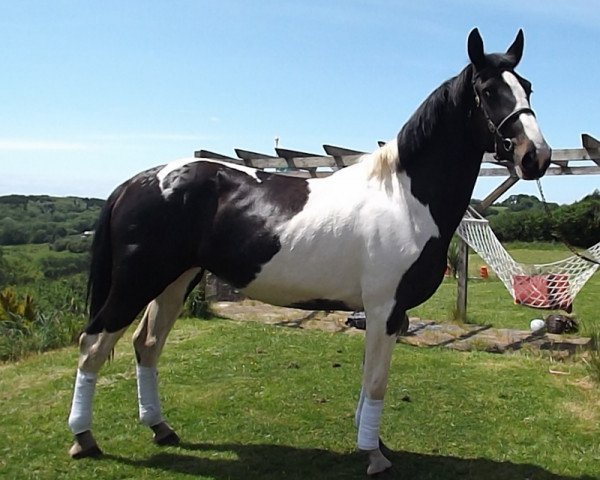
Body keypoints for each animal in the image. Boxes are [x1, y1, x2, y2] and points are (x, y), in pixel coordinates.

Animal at [68, 28, 552, 474]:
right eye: (488, 91)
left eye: (527, 87)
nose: (536, 157)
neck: (404, 196)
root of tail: (136, 182)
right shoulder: (385, 309)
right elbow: (377, 382)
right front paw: (374, 455)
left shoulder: (383, 313)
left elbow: (368, 379)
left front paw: (370, 440)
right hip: (137, 282)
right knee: (93, 343)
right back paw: (83, 439)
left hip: (174, 281)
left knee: (146, 344)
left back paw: (160, 427)